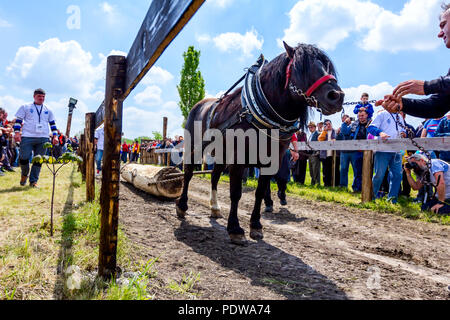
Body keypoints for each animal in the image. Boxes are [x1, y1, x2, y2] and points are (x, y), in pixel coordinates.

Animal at [177, 42, 344, 245]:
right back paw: (182, 206)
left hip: (221, 155)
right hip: (193, 148)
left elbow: (260, 191)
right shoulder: (238, 159)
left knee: (214, 177)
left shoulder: (272, 161)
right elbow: (236, 193)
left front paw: (256, 226)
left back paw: (215, 208)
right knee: (188, 172)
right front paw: (235, 228)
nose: (337, 96)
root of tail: (198, 105)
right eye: (302, 67)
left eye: (327, 66)